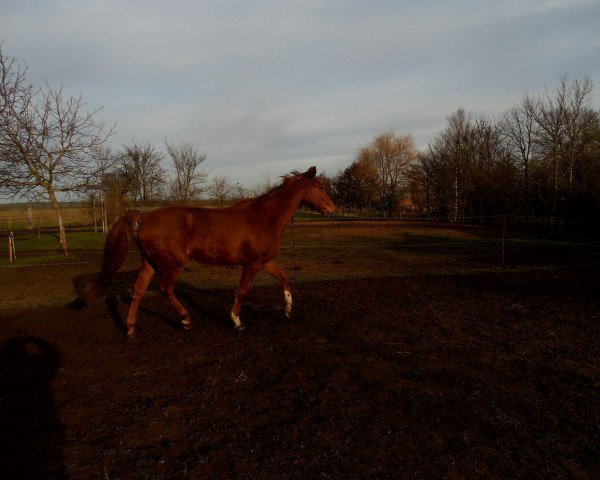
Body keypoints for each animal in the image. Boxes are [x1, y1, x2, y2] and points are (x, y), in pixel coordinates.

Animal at [84, 167, 336, 336]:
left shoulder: (264, 261)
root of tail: (144, 216)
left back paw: (130, 329)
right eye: (321, 187)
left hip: (150, 263)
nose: (332, 208)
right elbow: (242, 291)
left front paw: (287, 310)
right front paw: (236, 321)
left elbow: (285, 279)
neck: (265, 217)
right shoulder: (251, 264)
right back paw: (185, 319)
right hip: (173, 264)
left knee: (138, 291)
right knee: (165, 288)